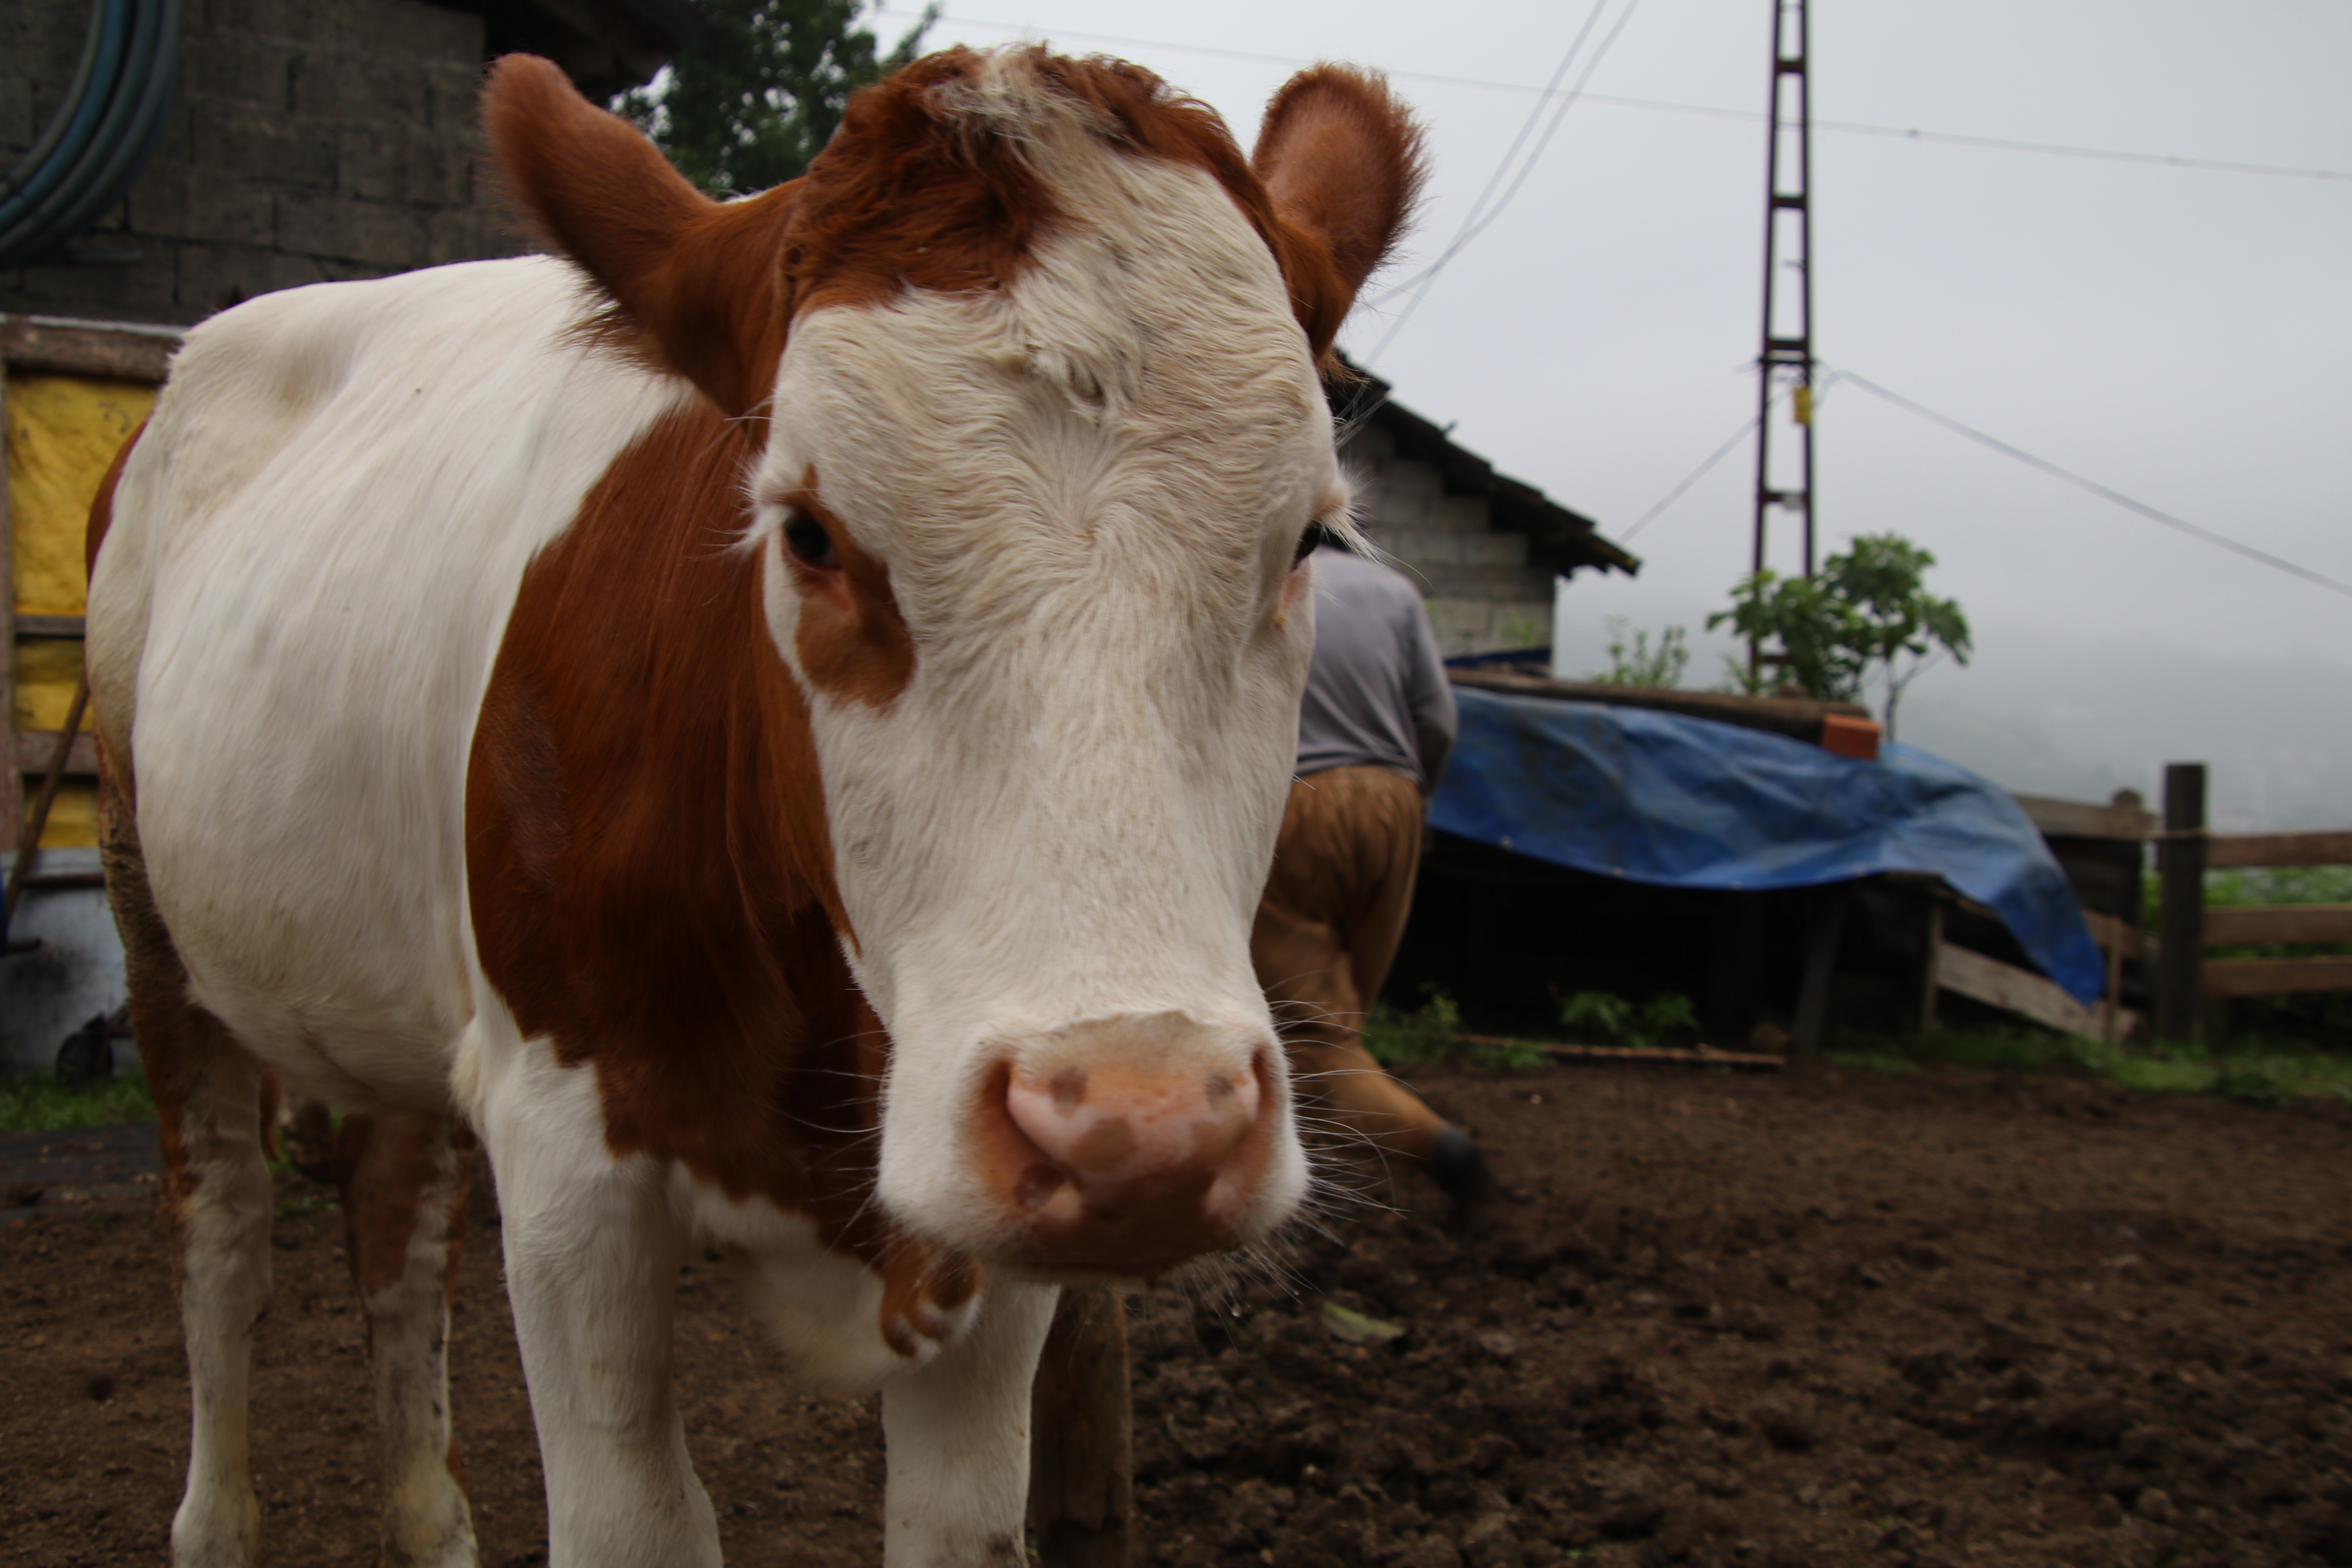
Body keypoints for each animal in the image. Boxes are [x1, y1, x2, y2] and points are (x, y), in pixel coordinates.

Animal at [83, 44, 1423, 1568]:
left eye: (1308, 538)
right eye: (808, 534)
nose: (1144, 1130)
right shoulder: (565, 1161)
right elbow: (638, 1519)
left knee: (394, 1218)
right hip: (150, 910)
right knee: (222, 1229)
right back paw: (214, 1517)